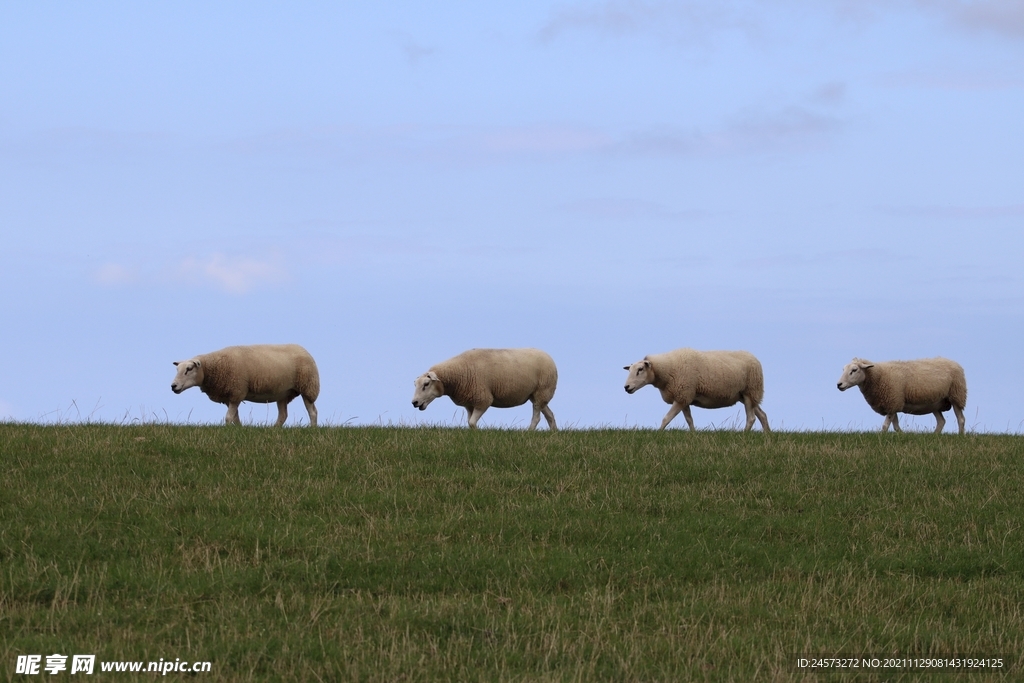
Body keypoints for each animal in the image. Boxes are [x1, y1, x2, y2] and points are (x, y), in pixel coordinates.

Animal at [171, 342, 319, 428]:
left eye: (189, 369)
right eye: (177, 369)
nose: (173, 386)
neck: (213, 367)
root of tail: (304, 349)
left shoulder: (237, 392)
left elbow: (228, 417)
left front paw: (228, 430)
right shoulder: (230, 397)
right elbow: (235, 417)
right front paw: (238, 430)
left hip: (308, 387)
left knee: (312, 412)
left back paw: (312, 429)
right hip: (283, 393)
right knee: (283, 415)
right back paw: (274, 429)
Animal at [411, 350, 561, 430]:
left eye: (426, 384)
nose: (414, 402)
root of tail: (548, 356)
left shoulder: (483, 400)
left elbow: (472, 422)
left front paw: (478, 432)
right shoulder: (470, 403)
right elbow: (469, 422)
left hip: (542, 390)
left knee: (537, 417)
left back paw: (529, 431)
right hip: (537, 395)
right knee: (549, 415)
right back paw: (554, 433)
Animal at [618, 348, 770, 432]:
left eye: (640, 369)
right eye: (630, 370)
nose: (626, 387)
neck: (667, 370)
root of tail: (754, 358)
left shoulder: (682, 395)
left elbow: (666, 418)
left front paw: (658, 433)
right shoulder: (683, 397)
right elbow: (689, 420)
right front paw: (693, 434)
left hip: (750, 391)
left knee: (751, 418)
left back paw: (744, 434)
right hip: (745, 395)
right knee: (762, 415)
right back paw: (767, 435)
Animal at [831, 358, 966, 432]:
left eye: (854, 370)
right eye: (843, 369)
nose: (839, 384)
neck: (879, 376)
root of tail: (952, 361)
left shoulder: (892, 402)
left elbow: (885, 426)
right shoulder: (892, 404)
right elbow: (895, 426)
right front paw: (902, 435)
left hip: (956, 395)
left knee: (961, 419)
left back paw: (960, 435)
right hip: (935, 403)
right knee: (941, 421)